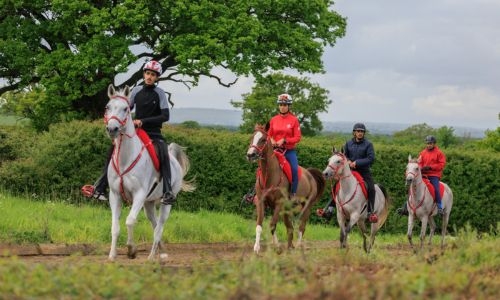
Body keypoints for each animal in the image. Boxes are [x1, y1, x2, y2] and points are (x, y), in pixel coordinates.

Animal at [105, 84, 195, 260]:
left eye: (126, 109)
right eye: (108, 107)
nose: (112, 129)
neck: (125, 158)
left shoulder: (139, 194)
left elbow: (130, 221)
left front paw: (131, 249)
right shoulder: (115, 195)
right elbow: (115, 227)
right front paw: (112, 255)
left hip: (166, 202)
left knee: (159, 227)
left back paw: (153, 256)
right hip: (149, 203)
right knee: (154, 225)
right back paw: (161, 250)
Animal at [245, 124, 324, 253]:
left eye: (263, 139)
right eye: (252, 137)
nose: (250, 155)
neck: (269, 175)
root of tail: (310, 175)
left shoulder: (279, 203)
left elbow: (272, 224)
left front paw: (277, 247)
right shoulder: (261, 202)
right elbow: (259, 225)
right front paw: (257, 247)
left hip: (306, 207)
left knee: (301, 227)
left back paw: (298, 246)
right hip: (287, 209)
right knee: (290, 227)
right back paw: (289, 247)